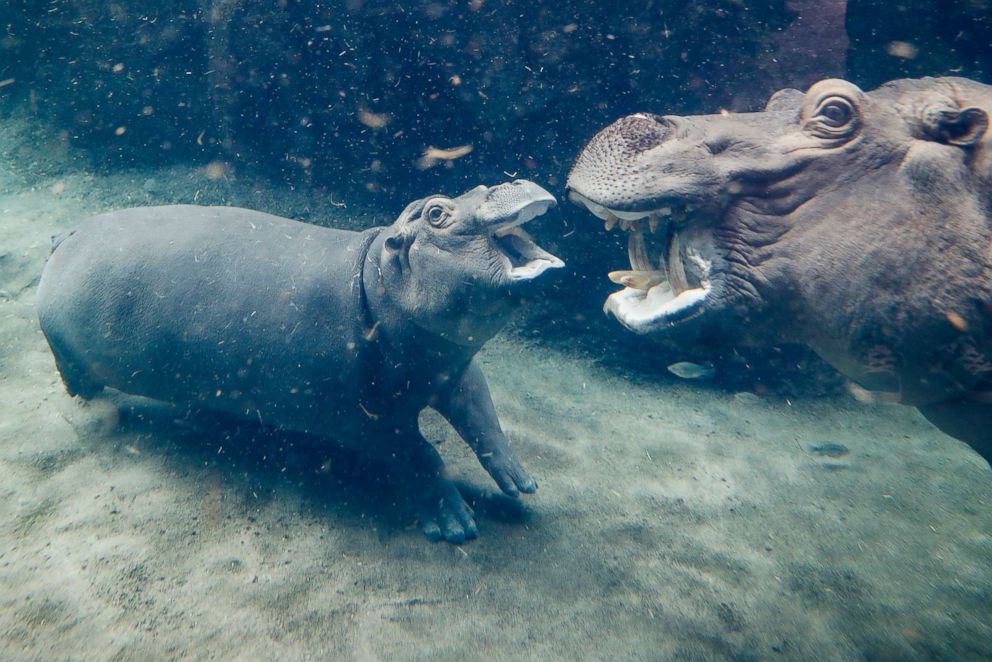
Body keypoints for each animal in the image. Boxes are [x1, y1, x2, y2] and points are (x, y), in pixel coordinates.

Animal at [36, 179, 564, 544]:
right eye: (436, 212)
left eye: (472, 188)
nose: (505, 181)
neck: (377, 277)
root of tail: (68, 232)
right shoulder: (367, 421)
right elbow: (420, 454)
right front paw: (455, 524)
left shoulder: (454, 365)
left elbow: (483, 415)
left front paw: (521, 483)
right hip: (64, 346)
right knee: (73, 374)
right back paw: (90, 402)